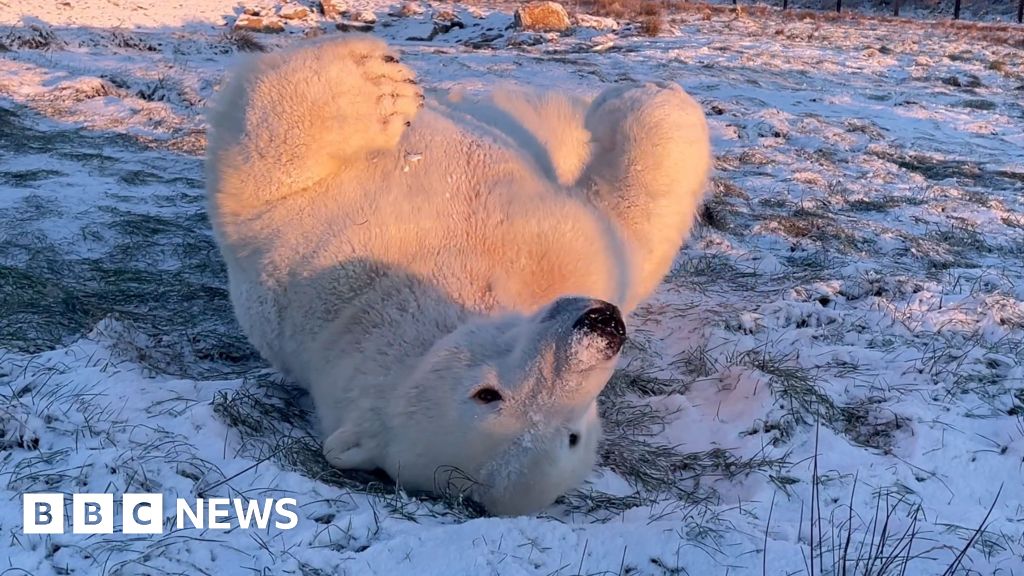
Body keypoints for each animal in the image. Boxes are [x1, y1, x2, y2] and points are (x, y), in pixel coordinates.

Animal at [205, 36, 711, 516]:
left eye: (572, 437)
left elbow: (628, 233)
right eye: (487, 395)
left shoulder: (581, 261)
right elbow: (269, 182)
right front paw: (380, 87)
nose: (602, 324)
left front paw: (644, 96)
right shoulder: (310, 260)